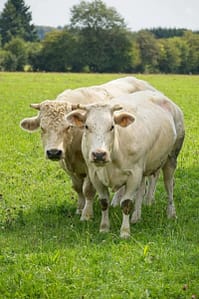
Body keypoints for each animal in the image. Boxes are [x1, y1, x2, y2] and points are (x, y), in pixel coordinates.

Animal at [20, 77, 157, 223]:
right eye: (42, 128)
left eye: (68, 127)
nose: (53, 152)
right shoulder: (69, 169)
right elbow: (78, 188)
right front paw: (79, 208)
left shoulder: (91, 168)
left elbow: (88, 190)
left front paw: (86, 214)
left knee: (153, 177)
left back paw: (148, 200)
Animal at [66, 91, 185, 239]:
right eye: (87, 126)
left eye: (112, 127)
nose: (99, 154)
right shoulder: (95, 175)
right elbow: (104, 202)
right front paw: (104, 228)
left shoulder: (134, 174)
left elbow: (126, 204)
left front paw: (125, 232)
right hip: (144, 167)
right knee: (142, 189)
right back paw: (136, 217)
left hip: (171, 157)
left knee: (169, 185)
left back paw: (171, 213)